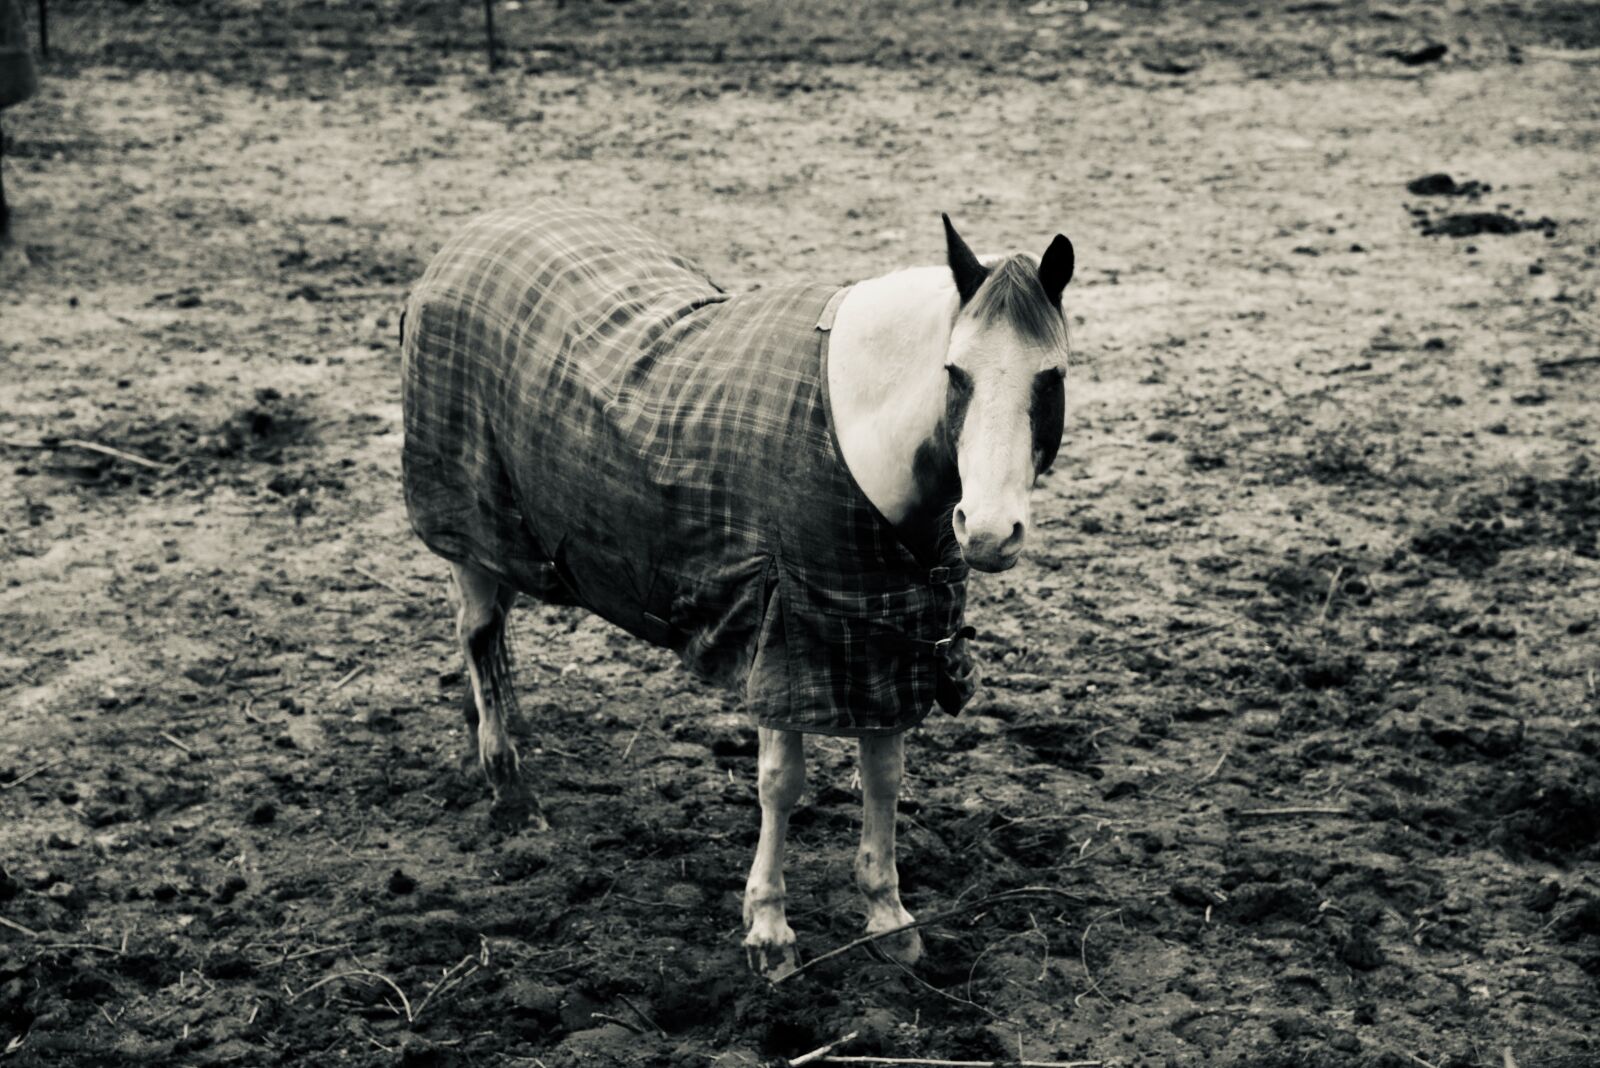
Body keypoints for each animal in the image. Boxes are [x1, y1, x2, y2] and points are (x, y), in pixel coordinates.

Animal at [400, 202, 1073, 979]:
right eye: (954, 373)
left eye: (1051, 377)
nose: (989, 532)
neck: (856, 438)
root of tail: (472, 235)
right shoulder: (784, 633)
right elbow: (781, 783)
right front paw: (770, 930)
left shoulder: (883, 645)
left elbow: (884, 775)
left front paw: (887, 916)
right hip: (467, 520)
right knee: (479, 632)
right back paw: (509, 787)